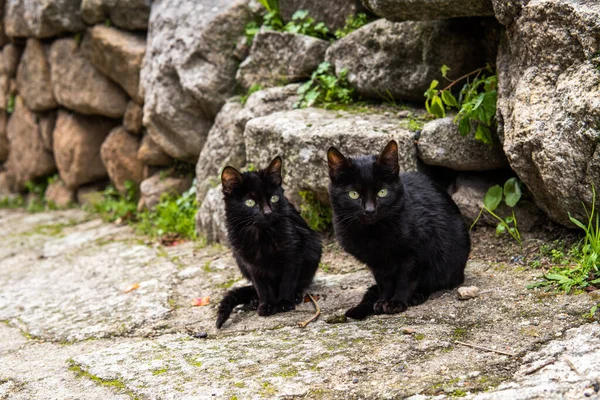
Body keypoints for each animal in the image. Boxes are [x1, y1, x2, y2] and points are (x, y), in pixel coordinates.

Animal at [213, 156, 322, 328]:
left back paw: (295, 295)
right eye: (250, 202)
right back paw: (254, 300)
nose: (268, 212)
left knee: (302, 281)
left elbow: (287, 280)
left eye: (274, 198)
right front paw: (265, 305)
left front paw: (284, 302)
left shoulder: (292, 253)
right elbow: (261, 286)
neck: (261, 235)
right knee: (254, 288)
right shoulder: (250, 262)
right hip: (238, 259)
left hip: (313, 246)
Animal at [326, 141, 472, 318]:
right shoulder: (377, 263)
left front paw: (397, 302)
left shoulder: (414, 253)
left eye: (382, 192)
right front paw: (382, 301)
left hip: (449, 264)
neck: (373, 233)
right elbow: (384, 283)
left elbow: (405, 280)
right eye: (353, 194)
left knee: (434, 281)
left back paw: (416, 296)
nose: (370, 210)